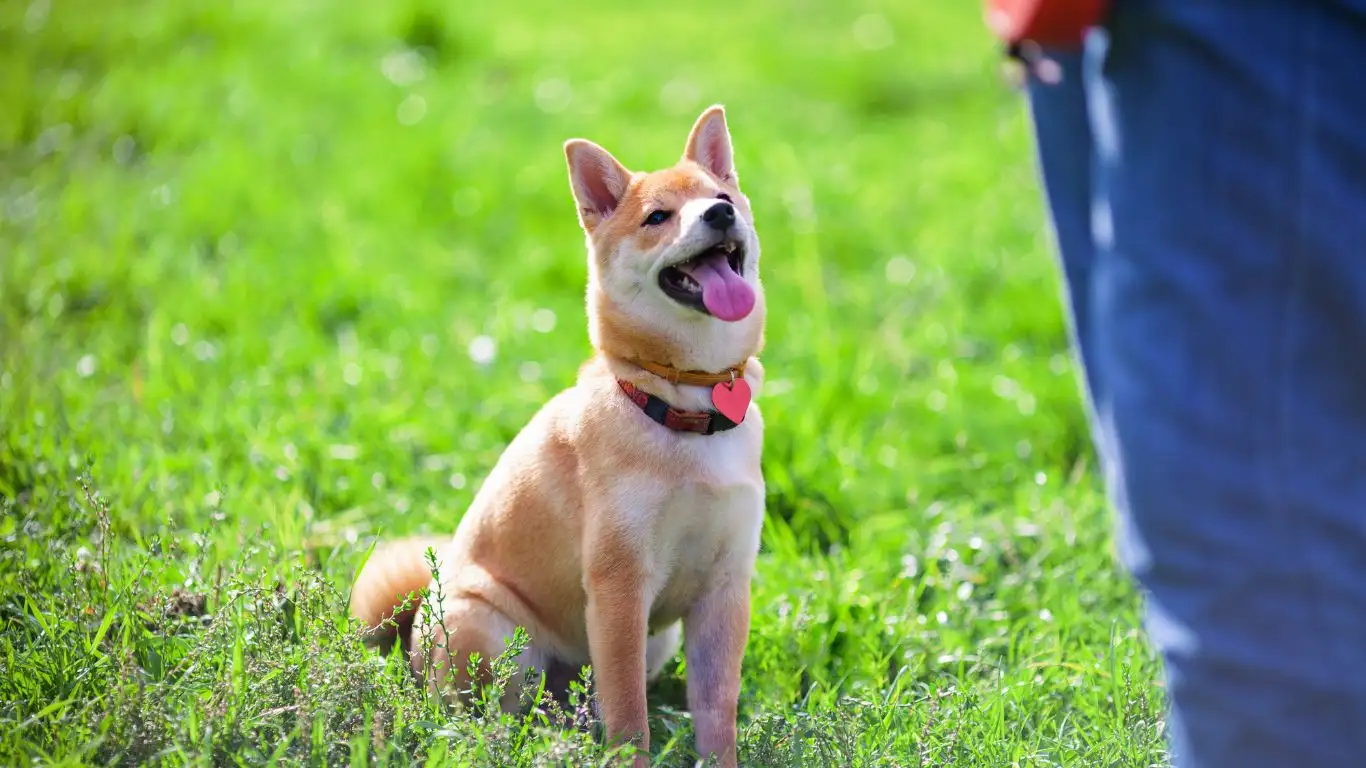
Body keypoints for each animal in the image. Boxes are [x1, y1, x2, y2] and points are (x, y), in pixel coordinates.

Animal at [346, 103, 770, 765]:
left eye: (722, 197)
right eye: (657, 217)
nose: (720, 214)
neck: (685, 405)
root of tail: (413, 640)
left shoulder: (724, 590)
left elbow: (715, 712)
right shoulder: (619, 586)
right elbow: (629, 718)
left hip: (654, 644)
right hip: (491, 631)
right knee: (481, 717)